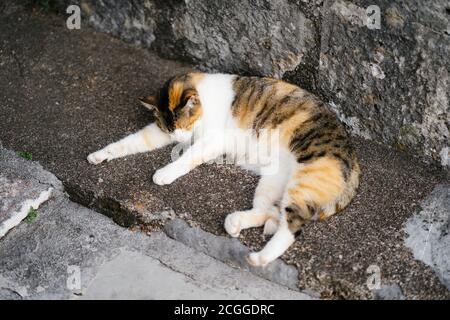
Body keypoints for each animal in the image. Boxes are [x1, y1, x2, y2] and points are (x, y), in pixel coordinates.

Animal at [88, 72, 360, 268]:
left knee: (292, 227)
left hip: (304, 181)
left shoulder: (212, 141)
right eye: (169, 128)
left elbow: (188, 157)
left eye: (184, 124)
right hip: (273, 181)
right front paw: (99, 155)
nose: (179, 137)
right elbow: (130, 142)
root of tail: (354, 164)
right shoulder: (158, 134)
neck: (205, 101)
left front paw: (165, 173)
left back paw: (259, 258)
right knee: (267, 210)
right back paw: (235, 223)